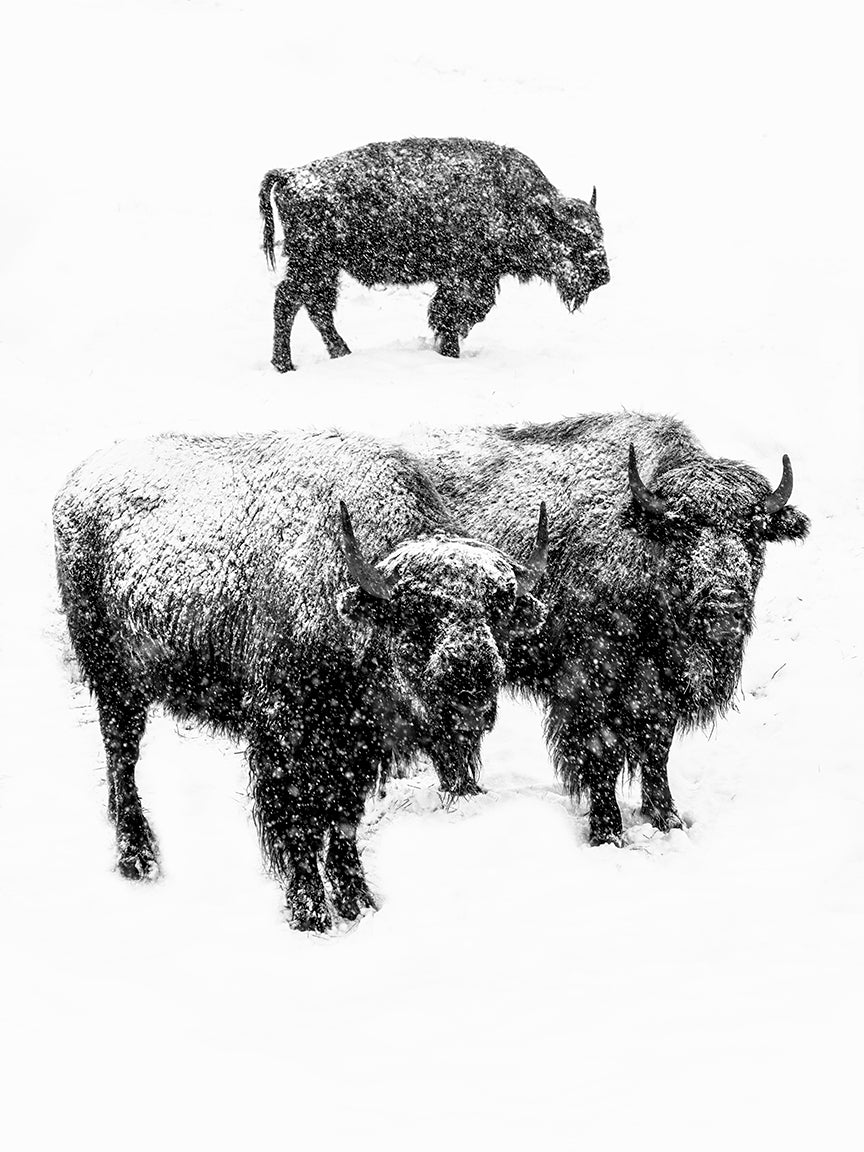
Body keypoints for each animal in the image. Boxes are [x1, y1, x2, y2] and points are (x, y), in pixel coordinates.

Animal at [53, 430, 548, 930]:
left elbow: (343, 822)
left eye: (497, 610)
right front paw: (309, 913)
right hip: (115, 680)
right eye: (417, 611)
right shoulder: (283, 736)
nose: (471, 678)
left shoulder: (356, 746)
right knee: (122, 755)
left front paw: (357, 903)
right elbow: (298, 825)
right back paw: (137, 858)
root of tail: (77, 483)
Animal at [259, 137, 609, 370]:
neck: (522, 204)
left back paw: (340, 354)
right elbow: (451, 315)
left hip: (324, 268)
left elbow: (458, 316)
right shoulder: (465, 278)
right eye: (573, 236)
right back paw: (285, 365)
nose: (602, 275)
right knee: (290, 301)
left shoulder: (479, 279)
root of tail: (290, 175)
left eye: (600, 232)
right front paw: (449, 354)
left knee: (315, 306)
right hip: (313, 262)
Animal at [406, 413, 810, 844]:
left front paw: (667, 817)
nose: (724, 607)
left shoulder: (659, 695)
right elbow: (601, 755)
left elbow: (656, 751)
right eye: (683, 529)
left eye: (754, 531)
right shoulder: (589, 690)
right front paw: (607, 831)